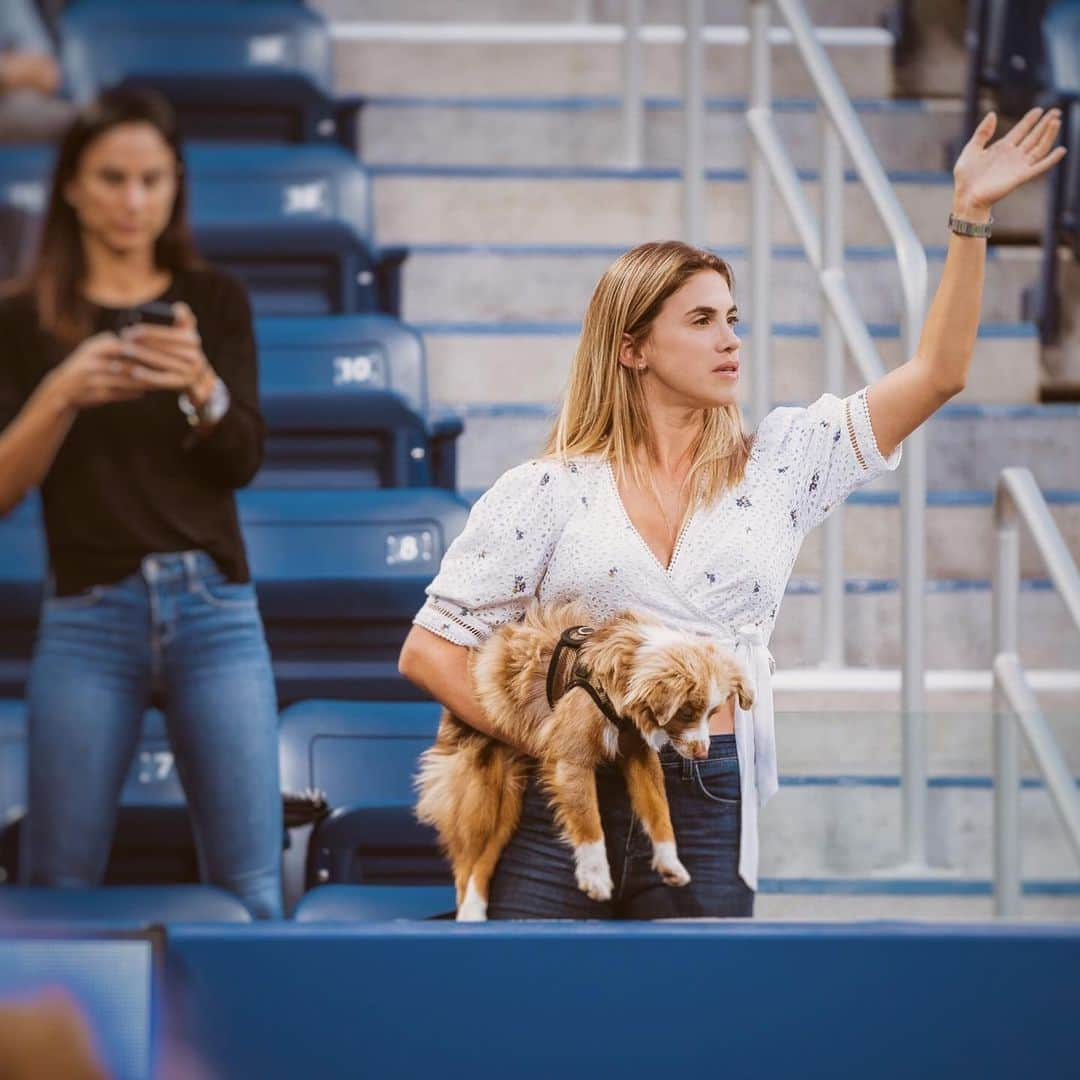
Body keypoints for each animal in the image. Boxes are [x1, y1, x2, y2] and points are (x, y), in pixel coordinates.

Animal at [412, 600, 751, 920]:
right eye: (686, 712)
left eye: (713, 713)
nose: (703, 753)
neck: (628, 670)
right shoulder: (569, 756)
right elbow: (588, 818)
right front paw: (595, 876)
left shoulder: (639, 755)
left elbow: (658, 809)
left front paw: (670, 861)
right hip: (484, 793)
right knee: (467, 865)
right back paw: (471, 911)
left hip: (508, 799)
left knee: (485, 856)